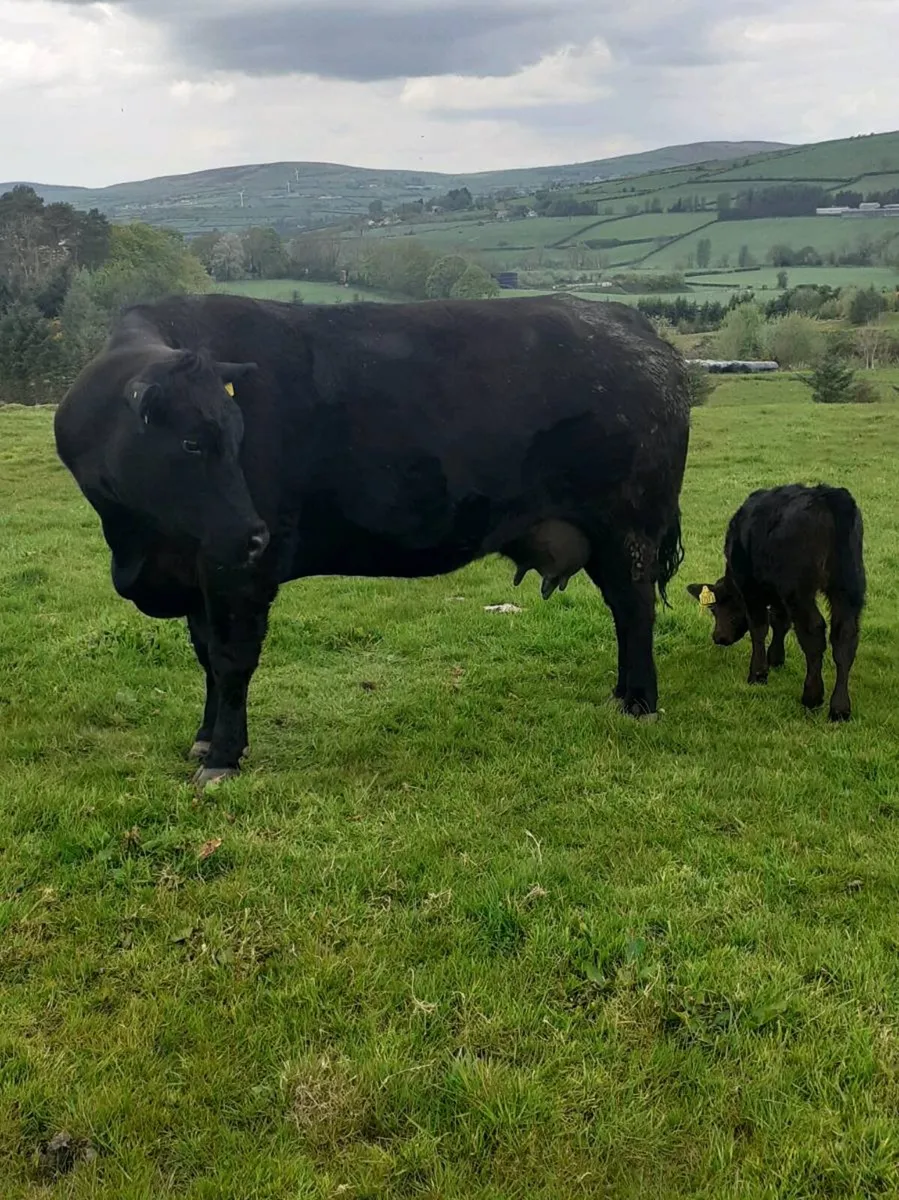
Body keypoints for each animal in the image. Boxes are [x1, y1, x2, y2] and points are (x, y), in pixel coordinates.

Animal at [54, 292, 692, 786]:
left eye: (236, 437)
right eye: (191, 443)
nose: (254, 532)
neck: (137, 542)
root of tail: (627, 323)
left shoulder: (238, 573)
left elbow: (232, 661)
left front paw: (225, 758)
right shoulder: (200, 573)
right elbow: (206, 656)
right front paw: (206, 738)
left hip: (629, 527)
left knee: (634, 610)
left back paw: (640, 702)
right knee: (623, 612)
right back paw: (620, 694)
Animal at [688, 483, 865, 721]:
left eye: (715, 609)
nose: (718, 637)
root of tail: (828, 496)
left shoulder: (751, 588)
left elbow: (759, 627)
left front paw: (758, 673)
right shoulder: (779, 594)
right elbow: (779, 621)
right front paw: (776, 658)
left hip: (800, 591)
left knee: (814, 633)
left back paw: (812, 697)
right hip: (849, 586)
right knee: (845, 638)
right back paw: (840, 708)